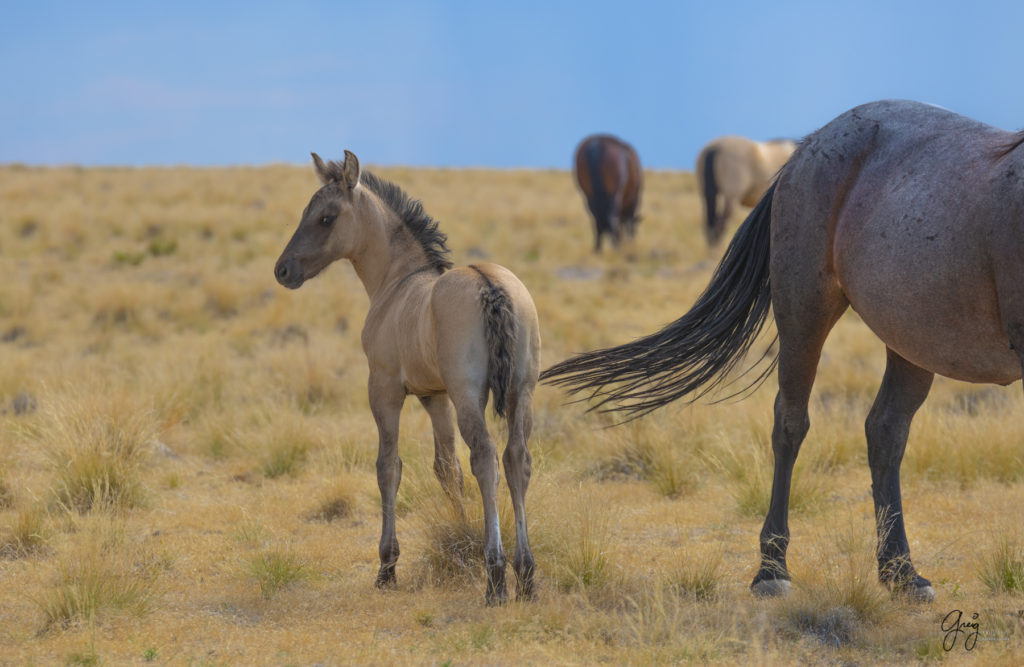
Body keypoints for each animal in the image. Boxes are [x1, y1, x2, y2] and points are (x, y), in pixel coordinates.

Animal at [272, 151, 544, 606]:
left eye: (326, 217)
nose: (283, 270)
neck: (397, 283)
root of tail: (490, 285)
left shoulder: (385, 391)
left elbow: (389, 467)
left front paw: (387, 566)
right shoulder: (434, 396)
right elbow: (446, 467)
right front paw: (462, 538)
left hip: (470, 395)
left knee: (486, 458)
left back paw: (496, 576)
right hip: (522, 392)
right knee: (515, 459)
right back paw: (525, 574)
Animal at [540, 100, 1024, 606]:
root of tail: (809, 145)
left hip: (909, 338)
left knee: (886, 431)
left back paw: (901, 573)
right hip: (805, 313)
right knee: (791, 423)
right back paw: (773, 569)